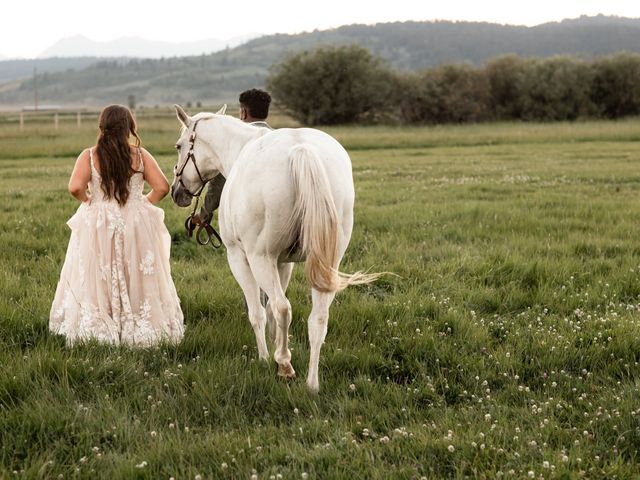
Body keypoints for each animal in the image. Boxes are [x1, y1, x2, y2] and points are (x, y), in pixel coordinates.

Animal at [171, 104, 380, 390]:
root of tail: (301, 150)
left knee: (283, 308)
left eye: (179, 146)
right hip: (327, 264)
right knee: (318, 319)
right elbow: (270, 308)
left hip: (260, 259)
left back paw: (284, 364)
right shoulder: (284, 262)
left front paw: (264, 357)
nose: (176, 191)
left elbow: (259, 312)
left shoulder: (239, 258)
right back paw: (312, 383)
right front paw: (275, 343)